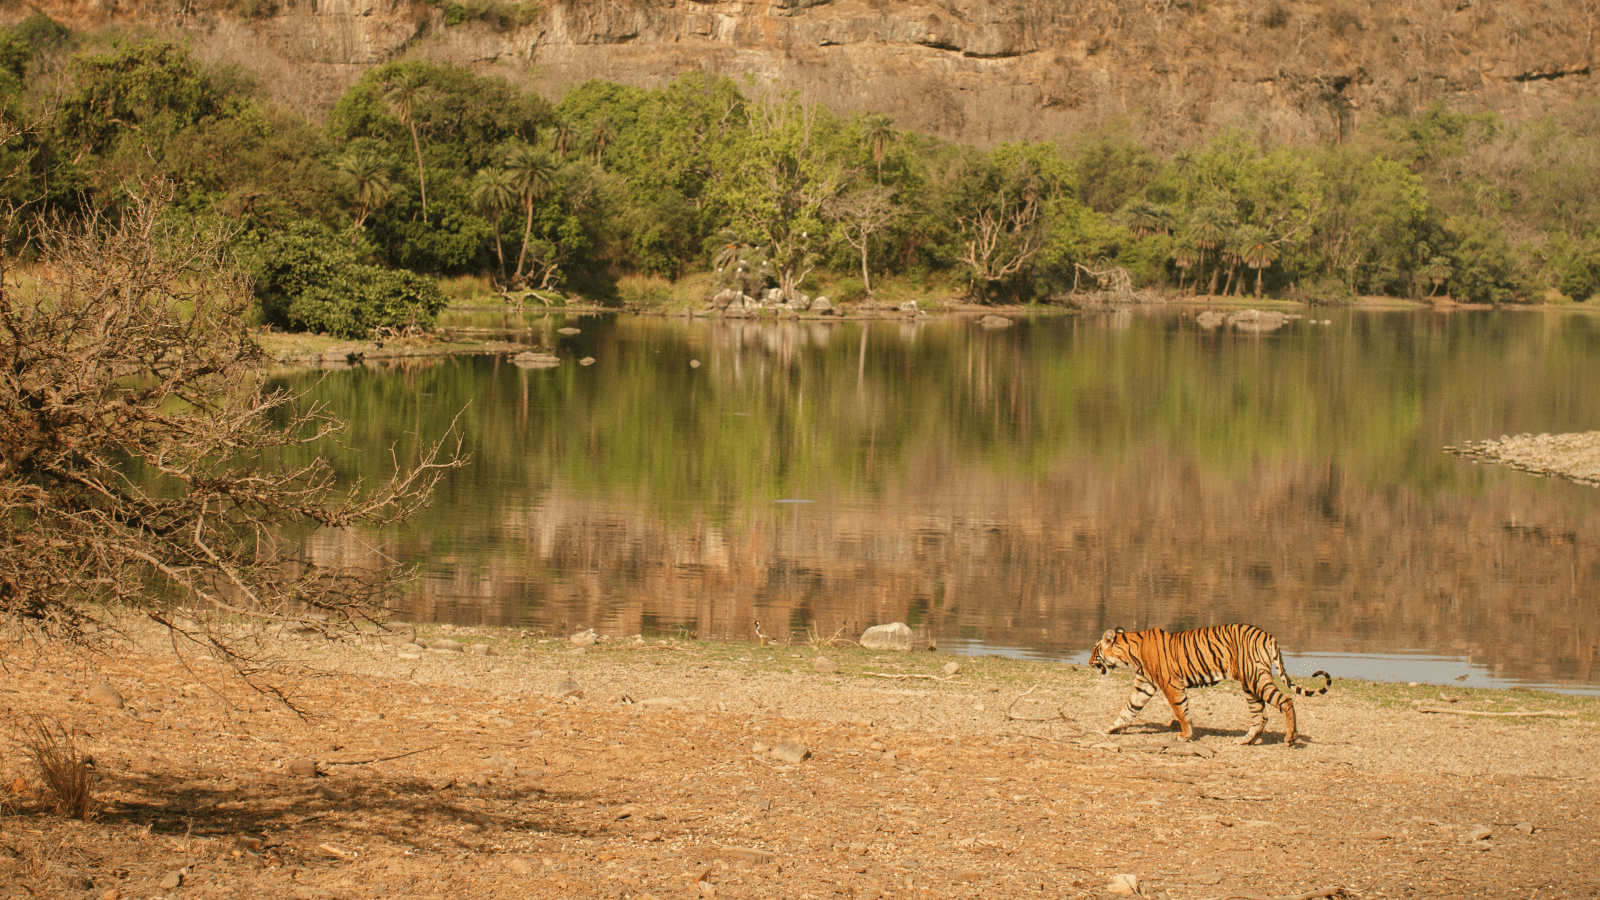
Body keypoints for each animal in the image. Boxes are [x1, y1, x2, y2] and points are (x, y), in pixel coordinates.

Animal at [1081, 624, 1331, 743]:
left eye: (1095, 650)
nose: (1089, 662)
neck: (1130, 652)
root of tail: (1268, 635)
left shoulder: (1171, 684)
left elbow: (1181, 711)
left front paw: (1185, 736)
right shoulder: (1145, 684)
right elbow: (1129, 708)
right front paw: (1109, 728)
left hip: (1256, 678)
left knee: (1285, 700)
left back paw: (1290, 738)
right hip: (1250, 685)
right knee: (1260, 716)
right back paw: (1245, 741)